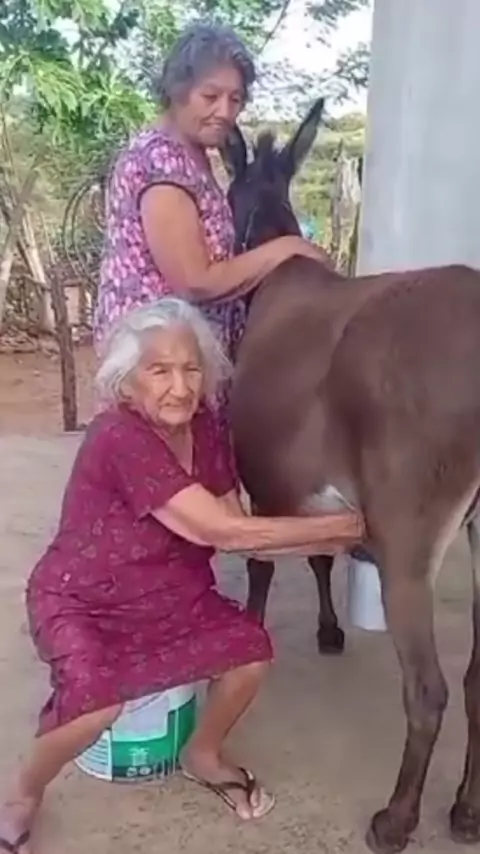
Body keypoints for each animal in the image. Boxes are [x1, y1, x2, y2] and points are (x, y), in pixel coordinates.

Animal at [222, 97, 480, 854]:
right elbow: (314, 556)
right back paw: (466, 810)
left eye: (226, 192)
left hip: (407, 526)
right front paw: (330, 631)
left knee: (427, 688)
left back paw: (395, 820)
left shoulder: (265, 475)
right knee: (478, 678)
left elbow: (266, 565)